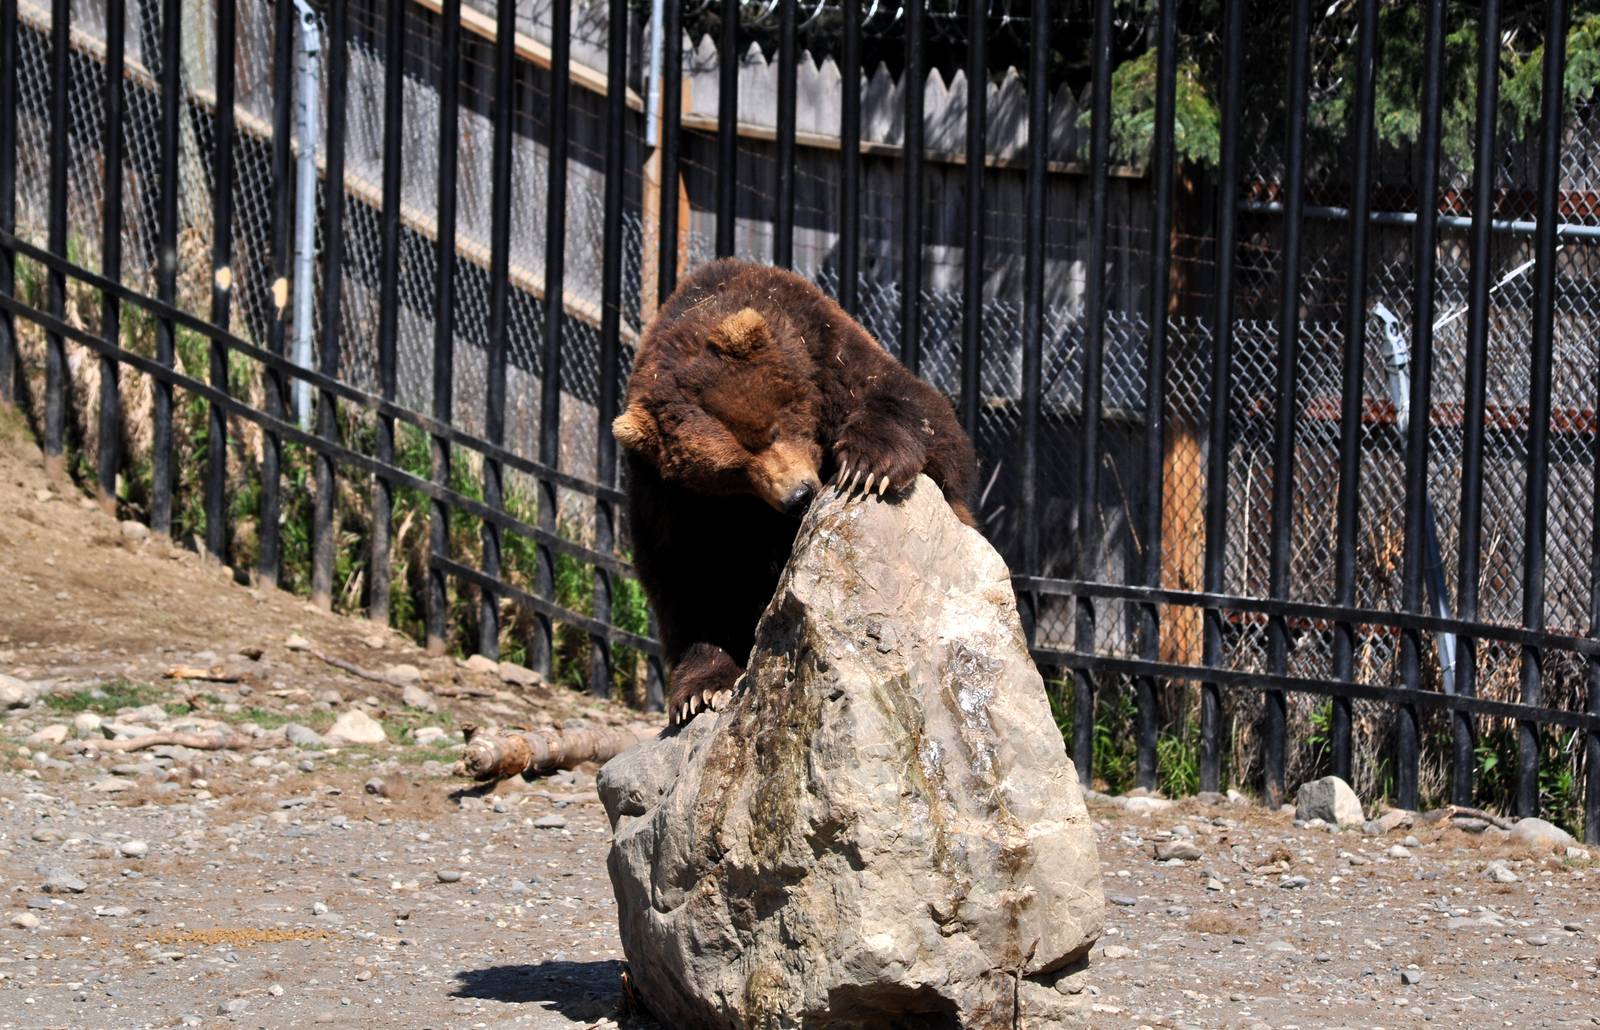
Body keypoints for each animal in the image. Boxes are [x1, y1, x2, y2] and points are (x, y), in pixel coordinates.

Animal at [612, 258, 978, 726]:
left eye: (769, 430)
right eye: (732, 473)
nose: (799, 496)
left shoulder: (827, 350)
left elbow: (921, 415)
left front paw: (866, 466)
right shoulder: (666, 496)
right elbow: (690, 579)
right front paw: (700, 689)